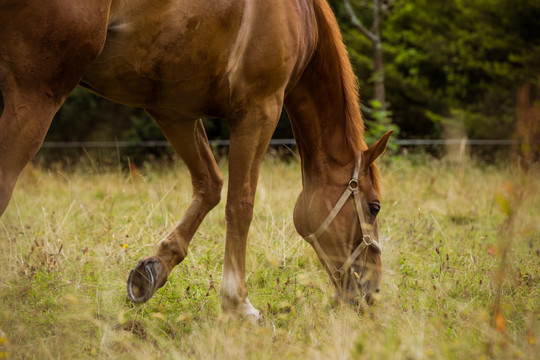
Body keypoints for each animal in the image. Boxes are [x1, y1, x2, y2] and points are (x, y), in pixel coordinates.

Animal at [0, 0, 390, 320]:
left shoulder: (174, 111)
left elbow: (210, 185)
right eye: (374, 207)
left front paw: (152, 271)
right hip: (37, 94)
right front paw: (238, 303)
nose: (373, 293)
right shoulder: (259, 110)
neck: (300, 15)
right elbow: (240, 204)